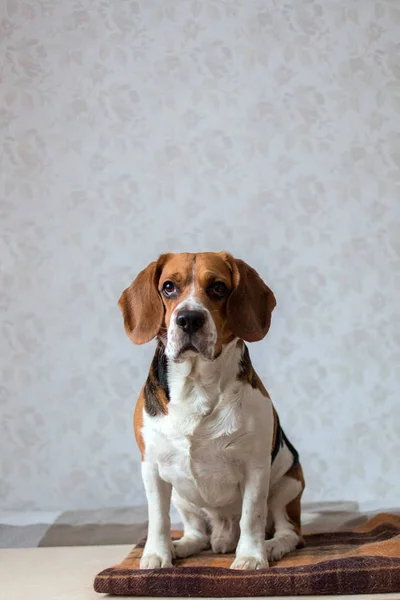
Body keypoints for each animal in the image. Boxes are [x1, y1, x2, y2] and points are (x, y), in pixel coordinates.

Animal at [118, 251, 304, 568]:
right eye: (168, 287)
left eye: (218, 287)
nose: (189, 319)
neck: (196, 384)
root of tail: (223, 533)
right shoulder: (152, 467)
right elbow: (158, 519)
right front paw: (157, 555)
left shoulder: (255, 468)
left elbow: (251, 517)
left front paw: (251, 556)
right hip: (182, 497)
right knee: (197, 534)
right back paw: (181, 546)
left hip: (287, 485)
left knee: (288, 531)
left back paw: (271, 546)